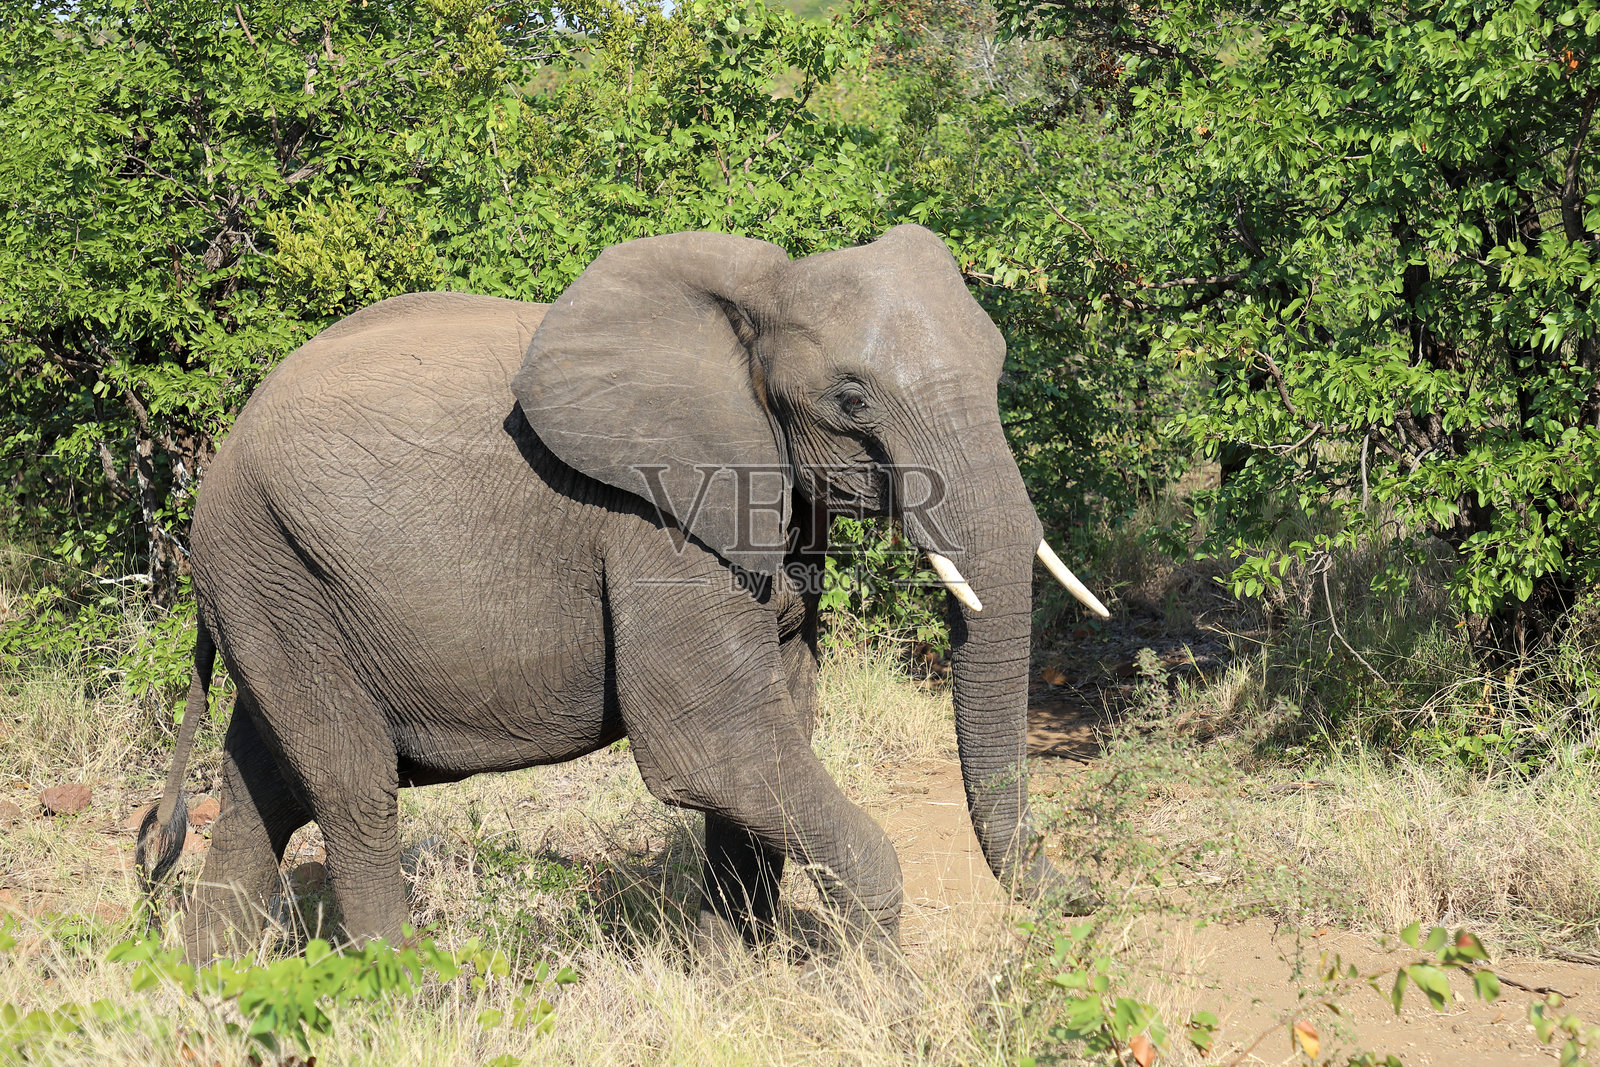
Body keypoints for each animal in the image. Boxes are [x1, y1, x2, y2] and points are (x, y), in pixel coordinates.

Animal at [137, 224, 1109, 966]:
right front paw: (881, 985)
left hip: (277, 583)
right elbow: (712, 744)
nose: (1084, 895)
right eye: (852, 399)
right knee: (351, 787)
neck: (754, 299)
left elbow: (778, 724)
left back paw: (213, 989)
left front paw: (728, 975)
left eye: (997, 367)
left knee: (267, 782)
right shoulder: (649, 518)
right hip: (268, 564)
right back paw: (409, 997)